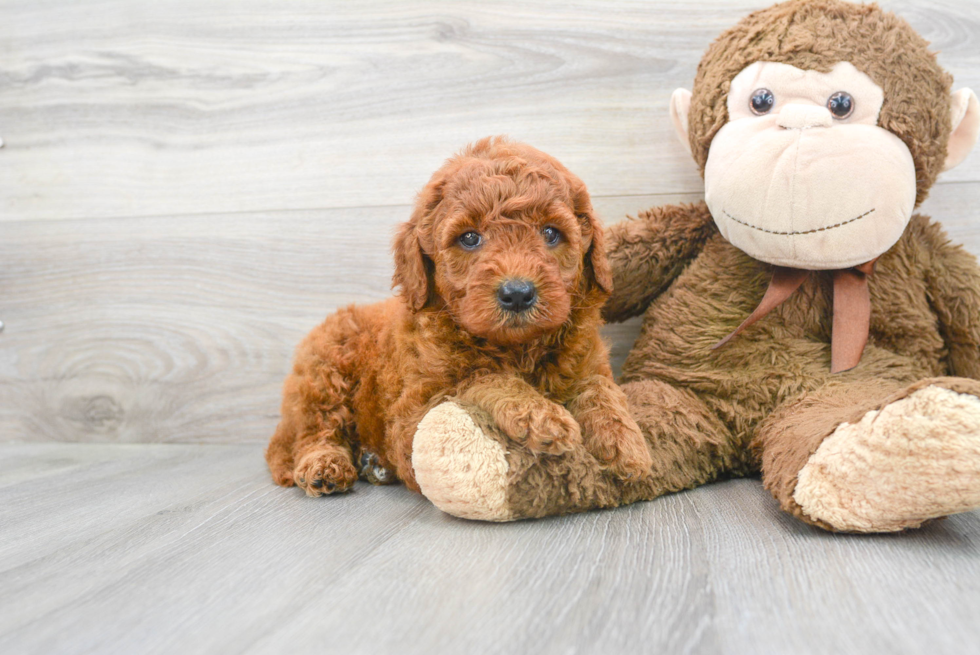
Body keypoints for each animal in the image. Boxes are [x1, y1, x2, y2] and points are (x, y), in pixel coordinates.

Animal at [264, 137, 656, 498]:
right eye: (469, 238)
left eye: (550, 233)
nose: (517, 293)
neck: (517, 348)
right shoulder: (413, 418)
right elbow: (481, 378)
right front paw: (540, 416)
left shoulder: (588, 362)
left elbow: (600, 390)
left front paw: (627, 445)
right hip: (324, 372)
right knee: (314, 430)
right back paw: (324, 465)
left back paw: (370, 464)